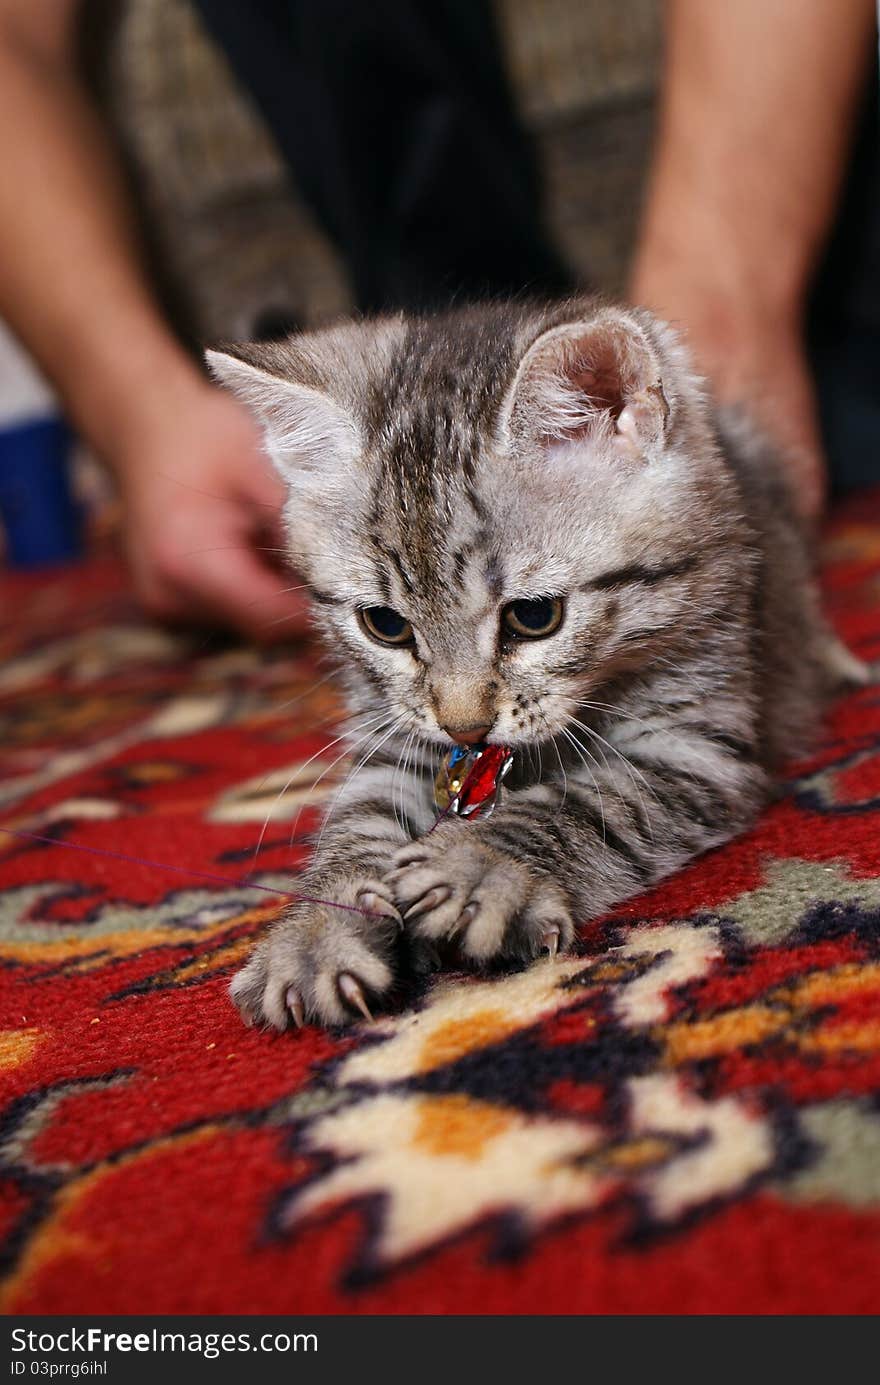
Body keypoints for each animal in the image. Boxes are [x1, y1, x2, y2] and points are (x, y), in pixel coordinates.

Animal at [206, 300, 859, 1030]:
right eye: (386, 626)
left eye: (534, 616)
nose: (464, 727)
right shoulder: (393, 738)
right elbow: (356, 819)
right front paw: (315, 931)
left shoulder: (701, 747)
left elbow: (596, 803)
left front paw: (480, 862)